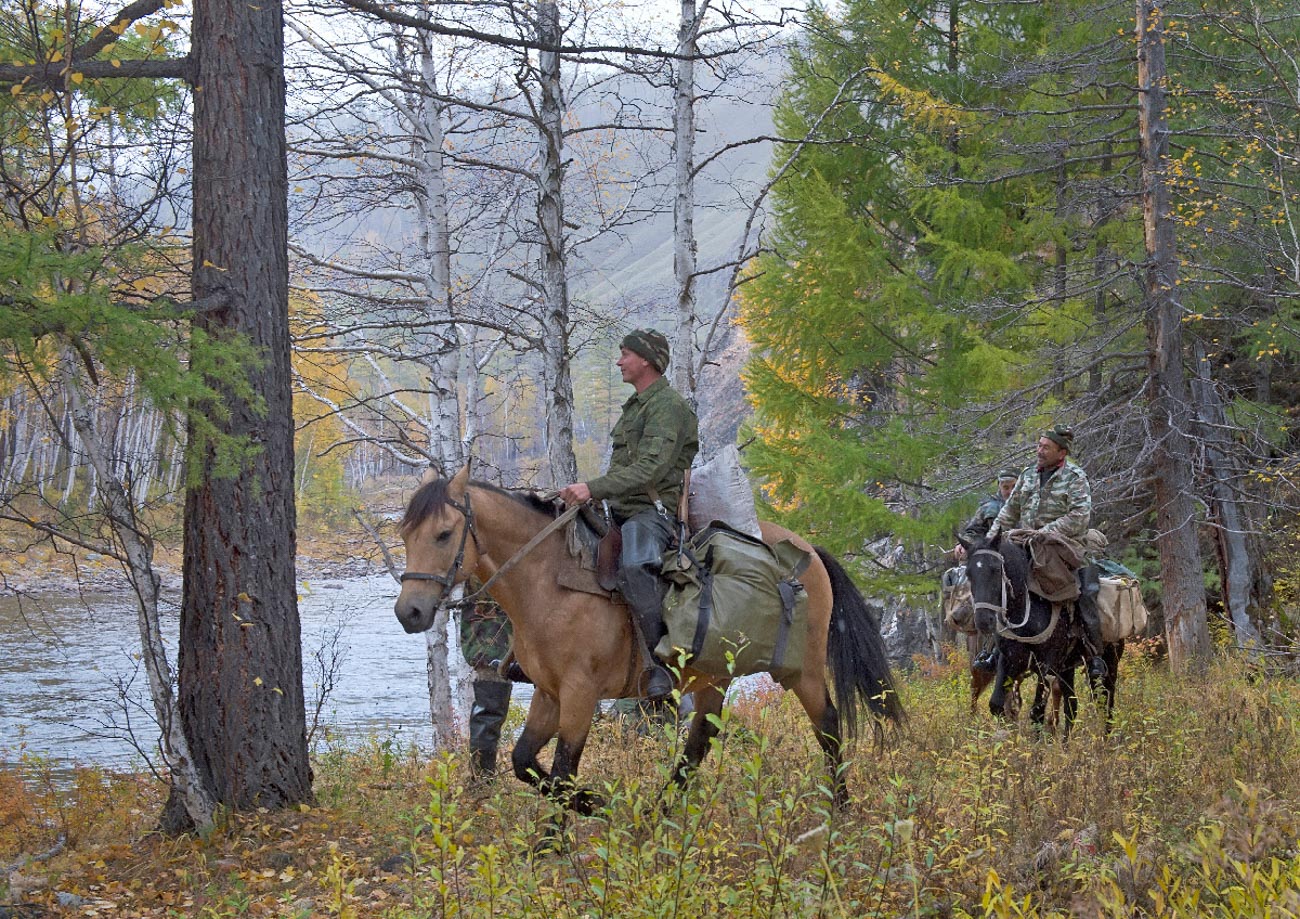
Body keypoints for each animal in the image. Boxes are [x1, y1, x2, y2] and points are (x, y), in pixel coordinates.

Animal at [395, 467, 904, 811]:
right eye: (405, 535)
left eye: (444, 534)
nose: (409, 612)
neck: (549, 582)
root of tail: (809, 551)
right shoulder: (549, 693)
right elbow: (524, 761)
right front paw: (595, 806)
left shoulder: (579, 695)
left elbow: (563, 770)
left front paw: (558, 839)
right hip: (713, 677)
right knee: (699, 741)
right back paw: (662, 811)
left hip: (804, 671)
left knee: (828, 726)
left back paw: (839, 807)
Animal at [961, 532, 1123, 738]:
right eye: (969, 574)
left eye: (996, 569)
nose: (983, 620)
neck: (1027, 611)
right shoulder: (1009, 660)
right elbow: (997, 705)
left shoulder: (1045, 664)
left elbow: (1036, 712)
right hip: (1066, 668)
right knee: (1072, 706)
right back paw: (1065, 744)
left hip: (1109, 662)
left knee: (1106, 702)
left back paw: (1106, 740)